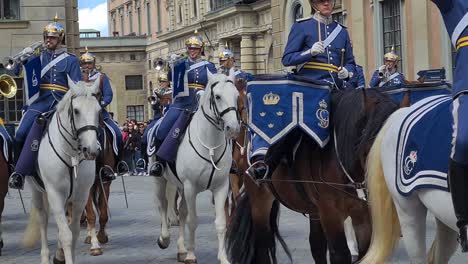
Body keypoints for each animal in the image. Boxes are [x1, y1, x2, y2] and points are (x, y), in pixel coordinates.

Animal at [22, 79, 101, 264]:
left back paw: (58, 254)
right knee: (43, 219)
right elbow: (66, 235)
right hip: (36, 190)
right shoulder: (54, 193)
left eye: (99, 110)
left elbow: (74, 231)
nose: (91, 150)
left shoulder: (81, 195)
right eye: (76, 111)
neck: (71, 154)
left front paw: (63, 255)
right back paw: (45, 257)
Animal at [151, 70, 239, 264]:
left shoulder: (221, 187)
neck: (210, 144)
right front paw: (192, 255)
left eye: (237, 95)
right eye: (217, 96)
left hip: (181, 187)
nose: (233, 128)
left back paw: (181, 249)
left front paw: (223, 257)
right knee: (163, 205)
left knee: (181, 212)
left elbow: (220, 223)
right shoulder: (191, 186)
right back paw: (164, 238)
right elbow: (192, 221)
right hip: (160, 179)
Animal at [226, 89, 398, 264]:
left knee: (316, 246)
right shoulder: (331, 214)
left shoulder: (362, 213)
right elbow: (340, 254)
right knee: (262, 247)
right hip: (260, 203)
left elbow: (364, 253)